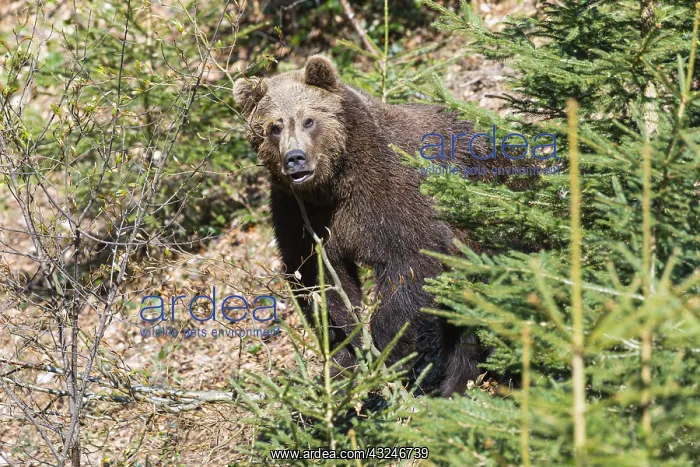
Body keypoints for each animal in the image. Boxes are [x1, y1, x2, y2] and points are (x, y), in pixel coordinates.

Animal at [233, 55, 499, 397]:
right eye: (273, 128)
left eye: (308, 120)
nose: (295, 158)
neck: (333, 184)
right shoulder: (299, 215)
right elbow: (321, 281)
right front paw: (346, 355)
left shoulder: (389, 195)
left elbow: (409, 263)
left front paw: (384, 348)